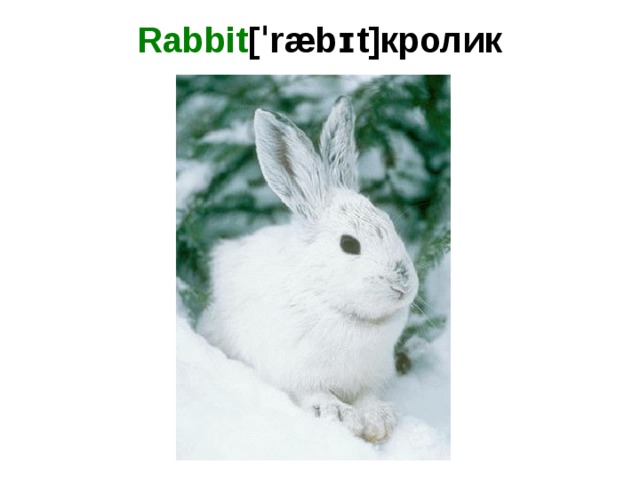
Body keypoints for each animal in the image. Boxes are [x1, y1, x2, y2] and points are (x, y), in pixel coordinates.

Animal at [196, 97, 419, 443]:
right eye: (349, 244)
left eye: (390, 225)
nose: (403, 284)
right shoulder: (296, 372)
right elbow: (314, 394)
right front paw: (339, 415)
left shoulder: (369, 378)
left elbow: (367, 396)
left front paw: (378, 421)